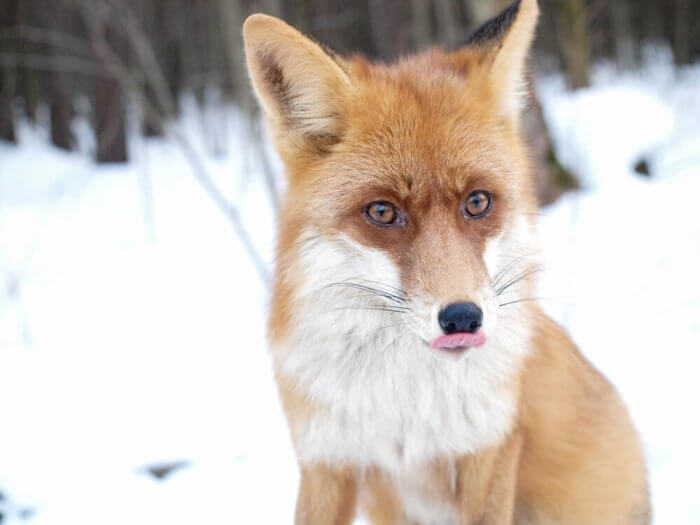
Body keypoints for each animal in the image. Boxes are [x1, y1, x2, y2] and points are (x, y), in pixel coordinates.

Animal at [243, 2, 648, 520]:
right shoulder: (325, 461)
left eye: (477, 202)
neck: (408, 409)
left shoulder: (490, 449)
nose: (462, 318)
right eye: (382, 212)